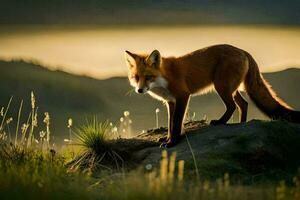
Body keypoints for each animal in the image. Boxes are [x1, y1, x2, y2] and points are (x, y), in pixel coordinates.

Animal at [124, 44, 300, 147]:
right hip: (230, 89)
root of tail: (243, 50)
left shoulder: (182, 96)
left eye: (148, 77)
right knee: (243, 104)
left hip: (221, 86)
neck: (165, 77)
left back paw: (221, 122)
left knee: (232, 106)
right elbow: (170, 123)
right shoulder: (170, 102)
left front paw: (173, 142)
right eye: (136, 78)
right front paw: (168, 138)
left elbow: (176, 122)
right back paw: (241, 124)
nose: (140, 90)